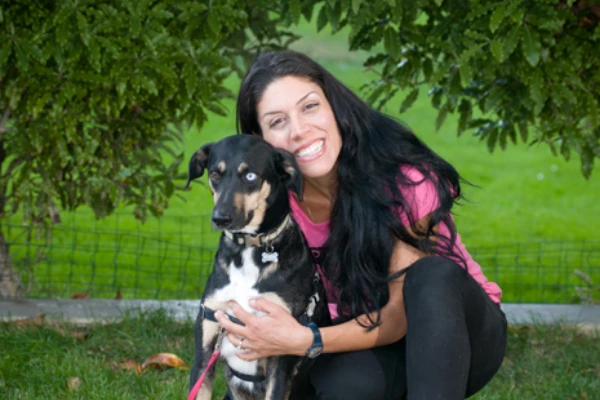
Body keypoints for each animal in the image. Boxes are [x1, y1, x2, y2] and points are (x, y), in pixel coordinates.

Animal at [186, 135, 328, 400]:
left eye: (250, 176)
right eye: (215, 174)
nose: (220, 218)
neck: (249, 251)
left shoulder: (281, 348)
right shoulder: (205, 346)